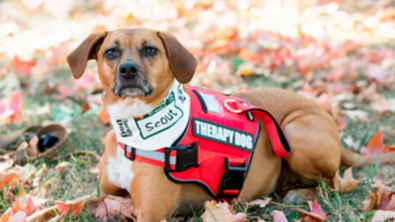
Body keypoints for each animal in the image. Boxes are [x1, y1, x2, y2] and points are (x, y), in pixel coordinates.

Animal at [66, 28, 394, 222]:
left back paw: (299, 195)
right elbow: (74, 202)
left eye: (150, 50)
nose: (128, 70)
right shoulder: (104, 194)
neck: (135, 130)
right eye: (111, 52)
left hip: (295, 133)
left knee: (334, 185)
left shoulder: (151, 213)